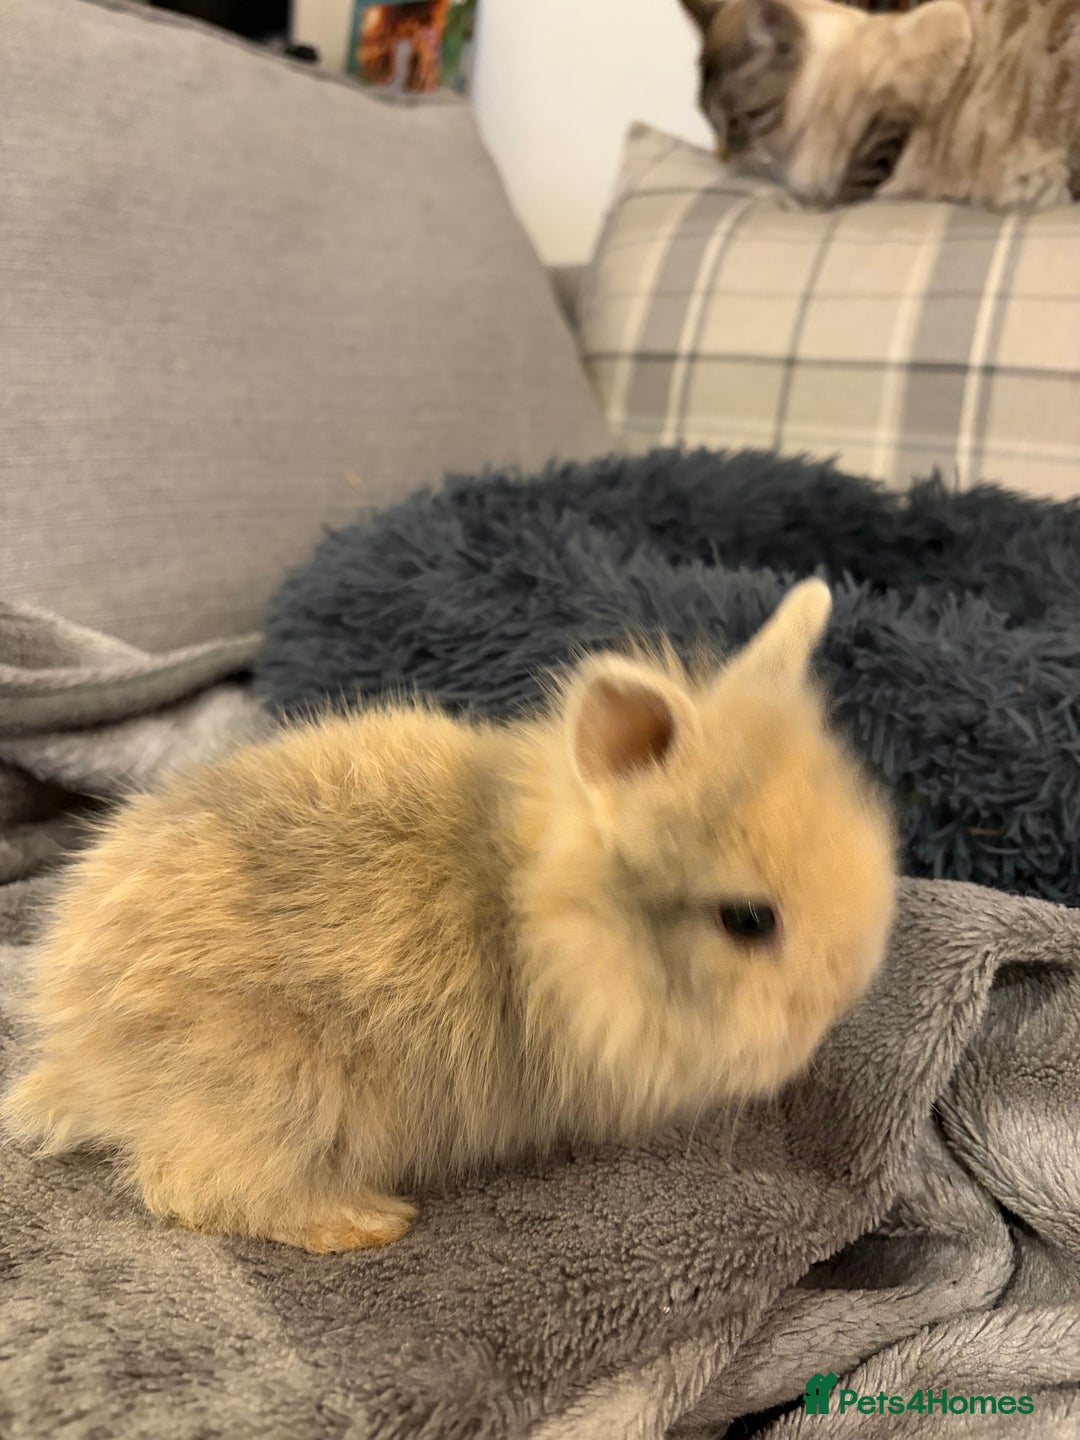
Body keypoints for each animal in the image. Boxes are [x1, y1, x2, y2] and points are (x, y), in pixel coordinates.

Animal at [3, 579, 895, 1254]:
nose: (841, 999)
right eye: (748, 920)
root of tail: (78, 1050)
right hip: (272, 1095)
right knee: (192, 1188)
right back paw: (365, 1222)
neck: (537, 917)